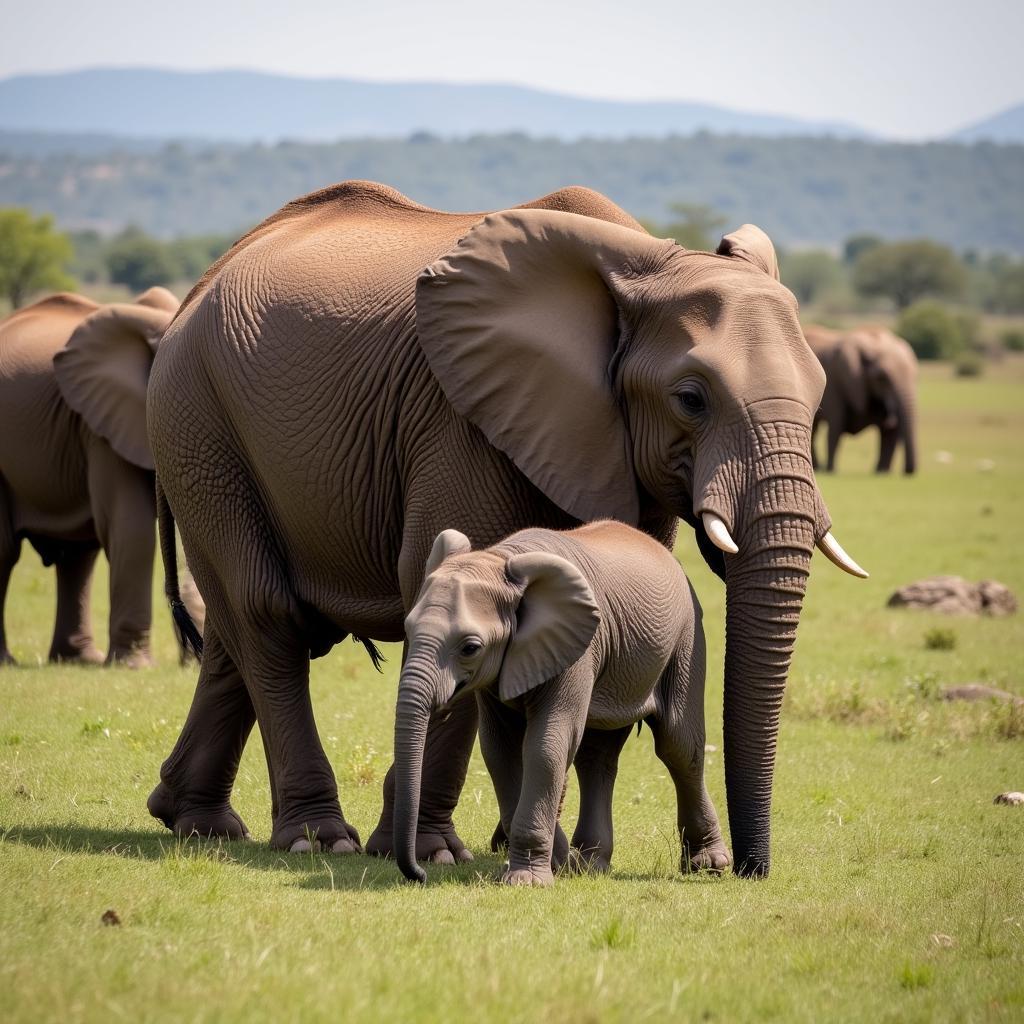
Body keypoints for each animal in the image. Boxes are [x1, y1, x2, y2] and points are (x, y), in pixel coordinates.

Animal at [0, 288, 188, 667]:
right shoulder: (100, 427)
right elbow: (131, 527)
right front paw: (134, 667)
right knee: (3, 551)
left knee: (77, 556)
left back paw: (79, 660)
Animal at [389, 524, 729, 884]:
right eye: (408, 628)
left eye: (470, 648)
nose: (420, 874)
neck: (499, 559)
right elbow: (500, 750)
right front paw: (559, 862)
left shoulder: (576, 649)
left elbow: (546, 746)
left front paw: (527, 881)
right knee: (597, 754)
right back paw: (591, 865)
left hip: (686, 640)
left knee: (678, 746)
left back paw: (710, 865)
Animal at [806, 323, 921, 475]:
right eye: (882, 378)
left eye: (915, 375)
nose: (907, 472)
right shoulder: (836, 383)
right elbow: (836, 427)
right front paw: (831, 471)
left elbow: (889, 433)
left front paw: (881, 473)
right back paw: (819, 469)